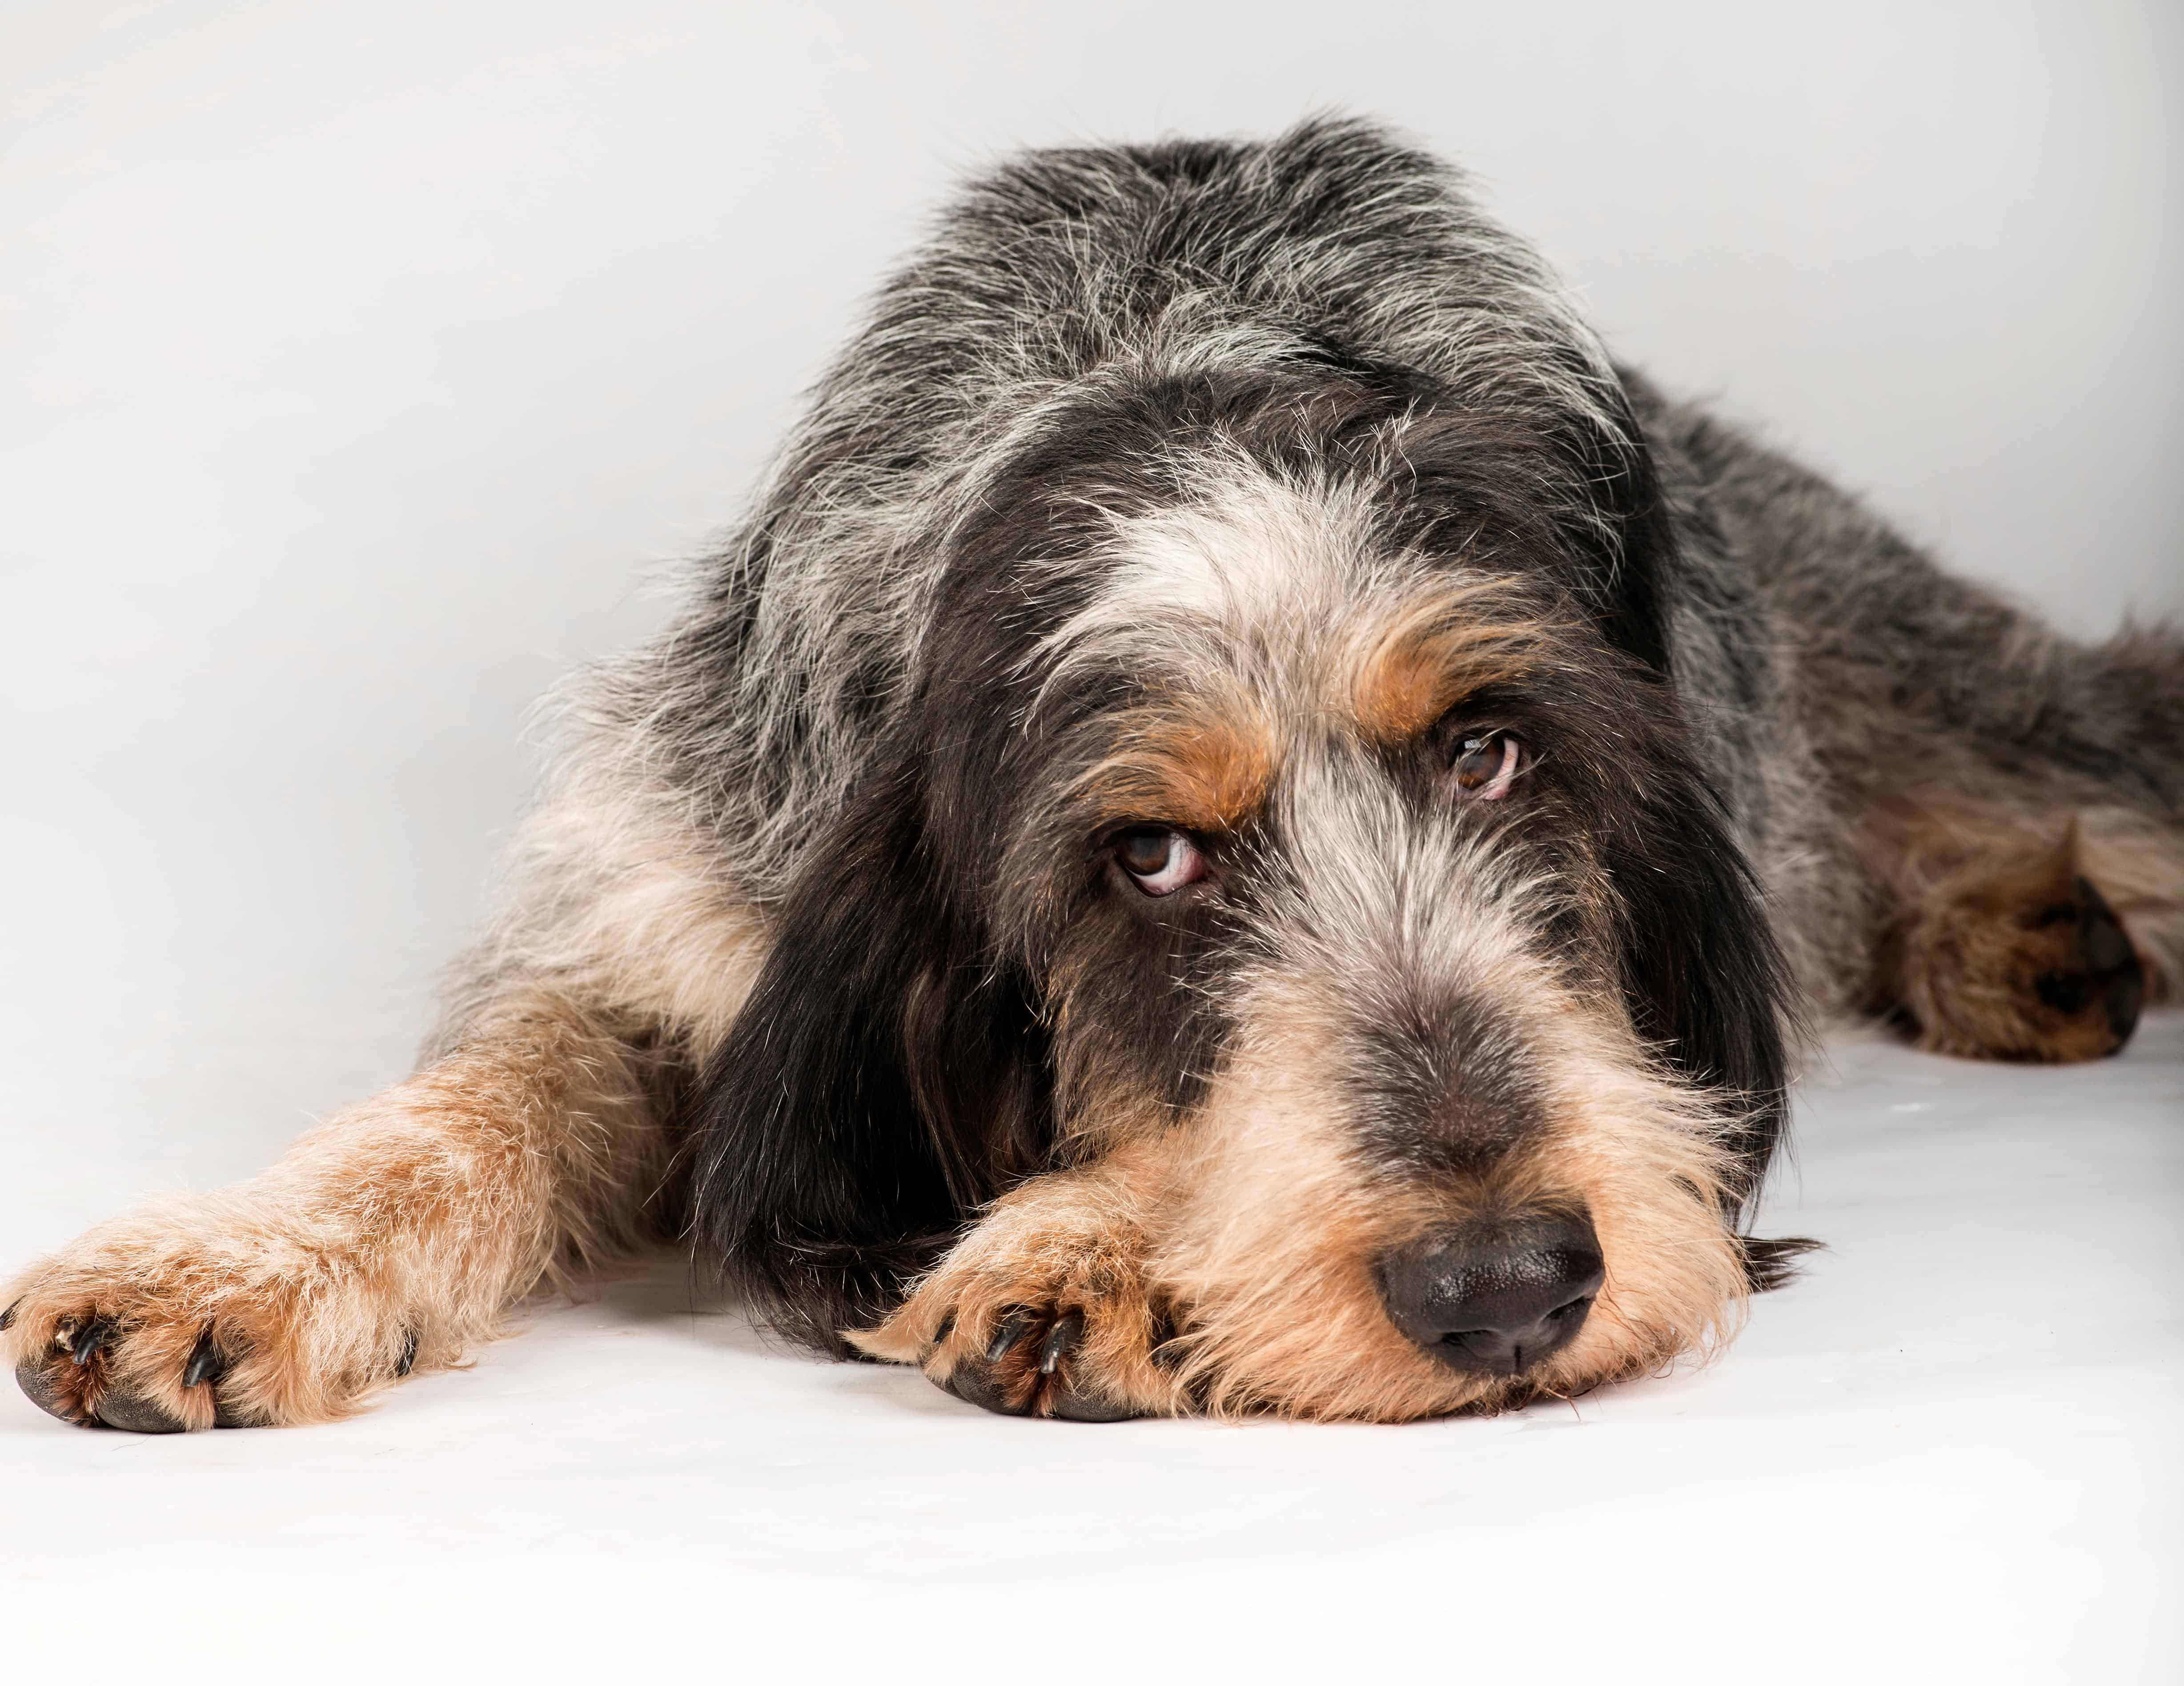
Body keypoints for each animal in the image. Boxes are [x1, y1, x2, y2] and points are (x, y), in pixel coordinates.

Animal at [4, 118, 2184, 1432]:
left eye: (1489, 751)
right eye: (1146, 860)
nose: (1503, 1280)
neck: (1175, 358)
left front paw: (1096, 1237)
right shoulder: (682, 886)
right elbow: (483, 1092)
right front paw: (239, 1252)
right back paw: (2016, 939)